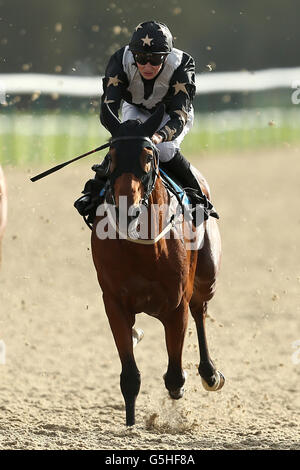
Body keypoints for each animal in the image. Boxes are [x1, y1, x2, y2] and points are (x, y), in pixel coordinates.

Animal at [91, 103, 225, 426]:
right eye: (111, 157)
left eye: (148, 157)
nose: (126, 209)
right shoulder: (114, 302)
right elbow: (130, 376)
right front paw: (130, 421)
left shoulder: (176, 305)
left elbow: (175, 376)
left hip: (207, 277)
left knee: (200, 309)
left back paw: (210, 373)